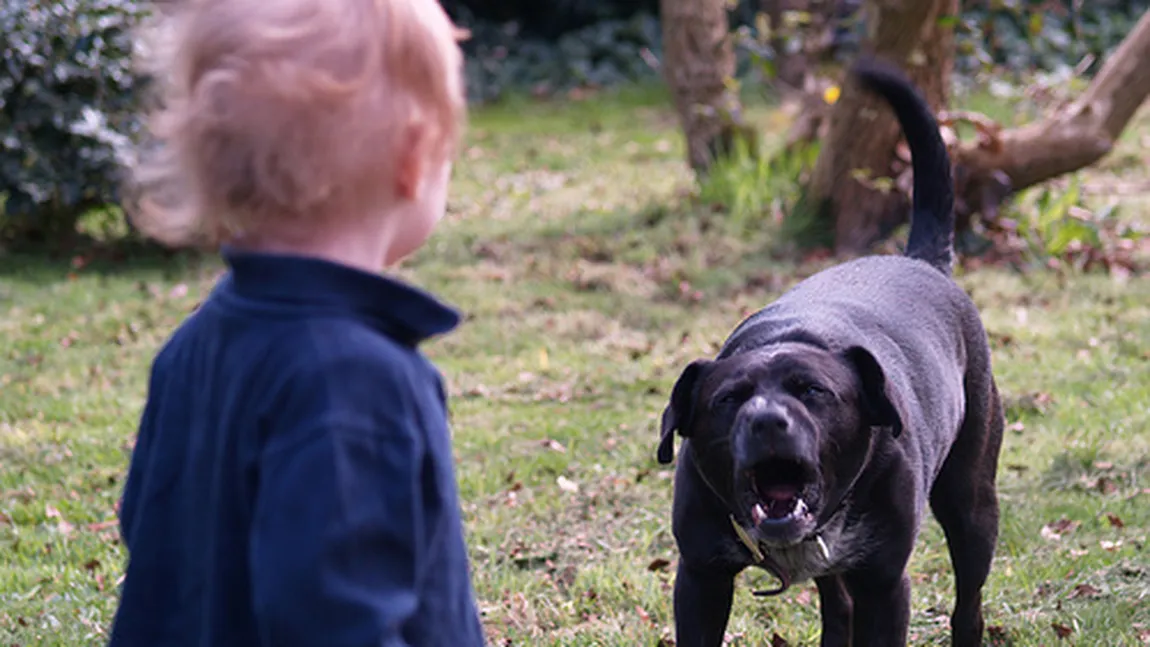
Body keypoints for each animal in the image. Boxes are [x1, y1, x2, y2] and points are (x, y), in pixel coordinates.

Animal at [662, 58, 1002, 643]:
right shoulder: (701, 577)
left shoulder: (885, 584)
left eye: (813, 391)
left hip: (972, 502)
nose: (767, 421)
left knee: (968, 605)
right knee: (837, 606)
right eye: (729, 400)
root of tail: (922, 260)